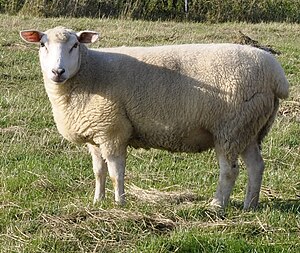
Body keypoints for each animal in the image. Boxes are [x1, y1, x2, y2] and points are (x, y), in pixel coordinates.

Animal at [20, 26, 288, 211]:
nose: (57, 71)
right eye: (42, 44)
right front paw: (98, 200)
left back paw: (217, 205)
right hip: (248, 128)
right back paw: (250, 205)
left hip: (230, 128)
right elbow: (99, 172)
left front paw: (119, 203)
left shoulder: (112, 130)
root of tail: (276, 75)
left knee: (229, 171)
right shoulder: (95, 135)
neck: (88, 71)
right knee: (256, 166)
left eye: (75, 45)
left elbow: (116, 172)